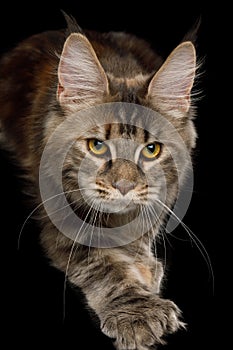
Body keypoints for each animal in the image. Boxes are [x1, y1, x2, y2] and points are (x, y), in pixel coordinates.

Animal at [0, 14, 200, 350]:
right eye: (97, 146)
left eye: (152, 150)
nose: (124, 186)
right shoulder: (60, 223)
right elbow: (106, 266)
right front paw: (138, 312)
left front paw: (147, 268)